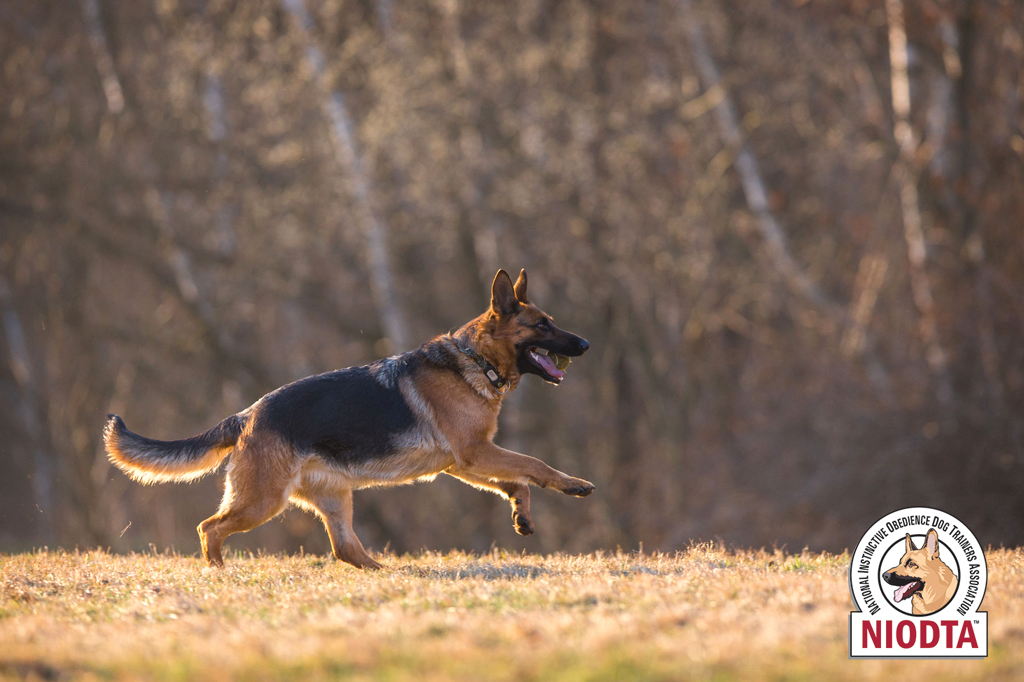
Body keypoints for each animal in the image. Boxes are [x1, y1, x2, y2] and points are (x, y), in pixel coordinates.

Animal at [103, 268, 593, 565]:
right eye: (542, 325)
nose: (586, 344)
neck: (474, 361)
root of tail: (248, 415)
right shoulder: (474, 454)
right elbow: (534, 465)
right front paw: (572, 484)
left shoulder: (463, 462)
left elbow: (516, 481)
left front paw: (522, 515)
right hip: (263, 502)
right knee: (210, 527)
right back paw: (218, 571)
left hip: (333, 497)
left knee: (345, 549)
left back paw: (387, 574)